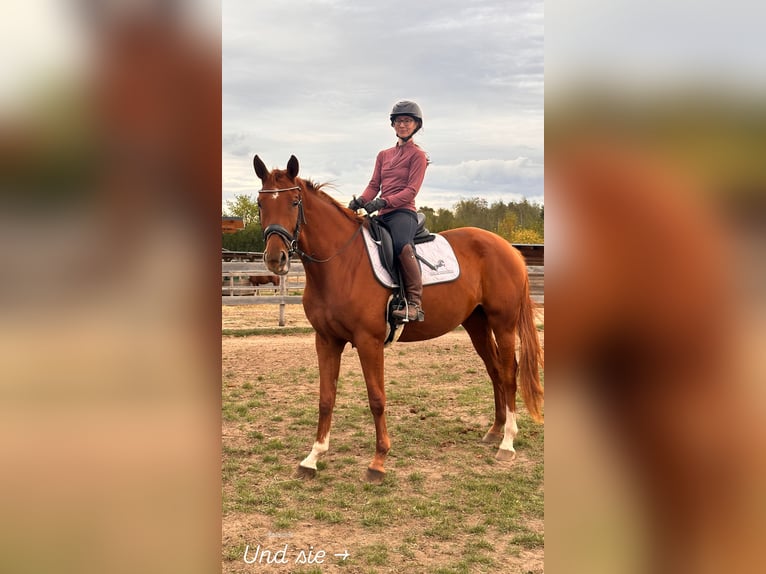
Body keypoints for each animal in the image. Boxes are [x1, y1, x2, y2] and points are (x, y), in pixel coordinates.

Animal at [253, 154, 544, 483]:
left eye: (293, 202)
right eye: (261, 204)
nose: (275, 258)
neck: (341, 263)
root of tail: (507, 248)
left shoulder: (369, 342)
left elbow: (377, 399)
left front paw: (378, 461)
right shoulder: (326, 340)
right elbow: (326, 398)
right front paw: (313, 457)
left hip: (503, 323)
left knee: (508, 373)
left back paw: (507, 442)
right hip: (477, 324)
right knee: (494, 370)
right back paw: (494, 431)